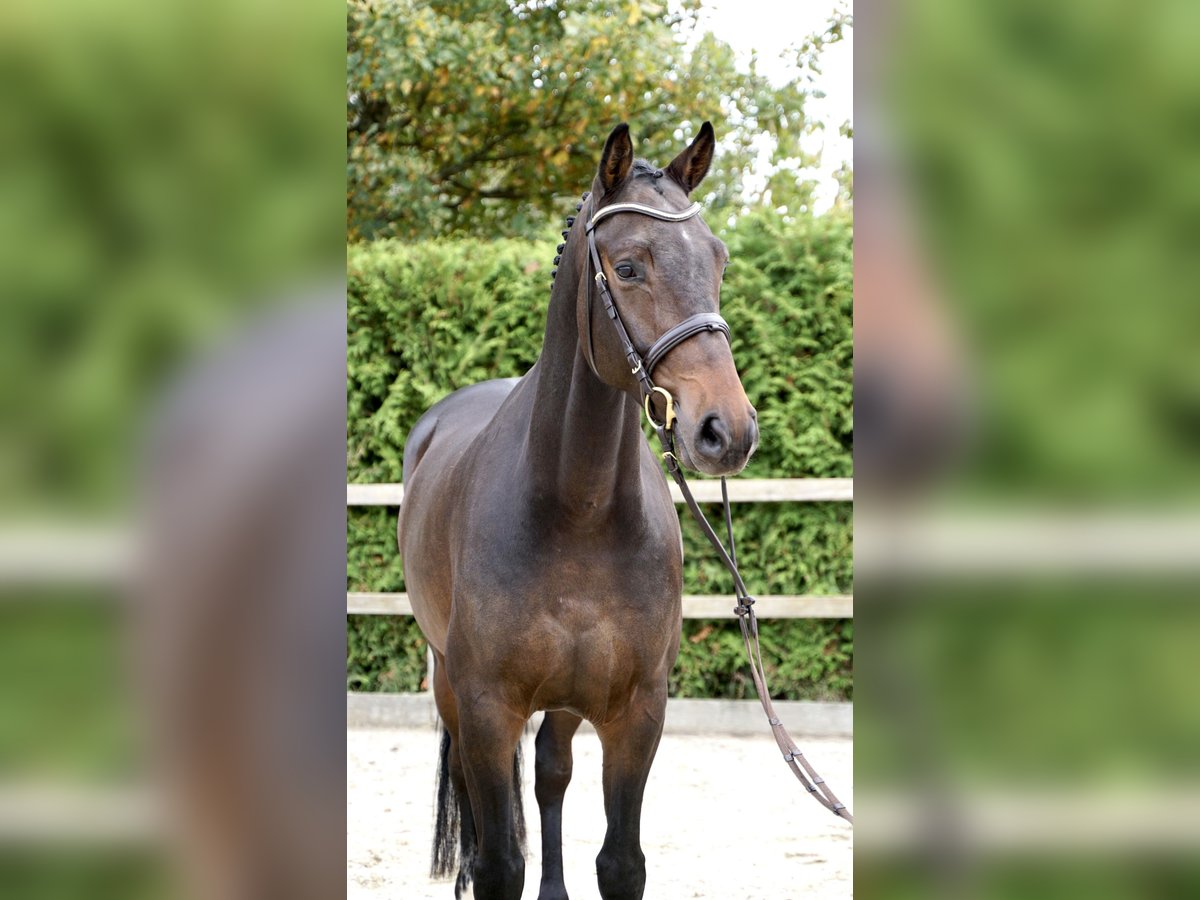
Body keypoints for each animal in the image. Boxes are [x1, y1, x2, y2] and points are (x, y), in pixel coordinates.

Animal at [398, 122, 758, 900]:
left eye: (717, 258)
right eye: (627, 267)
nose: (727, 431)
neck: (578, 511)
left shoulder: (638, 712)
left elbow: (619, 861)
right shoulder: (484, 705)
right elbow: (498, 863)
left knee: (551, 773)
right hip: (447, 683)